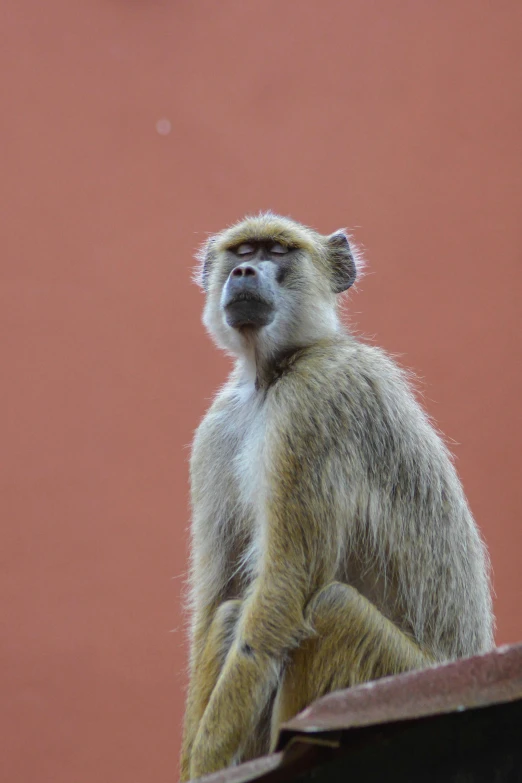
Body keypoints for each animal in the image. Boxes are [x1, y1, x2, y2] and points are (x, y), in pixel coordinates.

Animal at [180, 211, 492, 780]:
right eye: (244, 251)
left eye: (278, 252)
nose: (242, 273)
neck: (273, 374)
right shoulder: (220, 426)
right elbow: (221, 595)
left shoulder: (315, 401)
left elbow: (285, 585)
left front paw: (208, 759)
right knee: (234, 613)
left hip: (391, 674)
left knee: (331, 608)